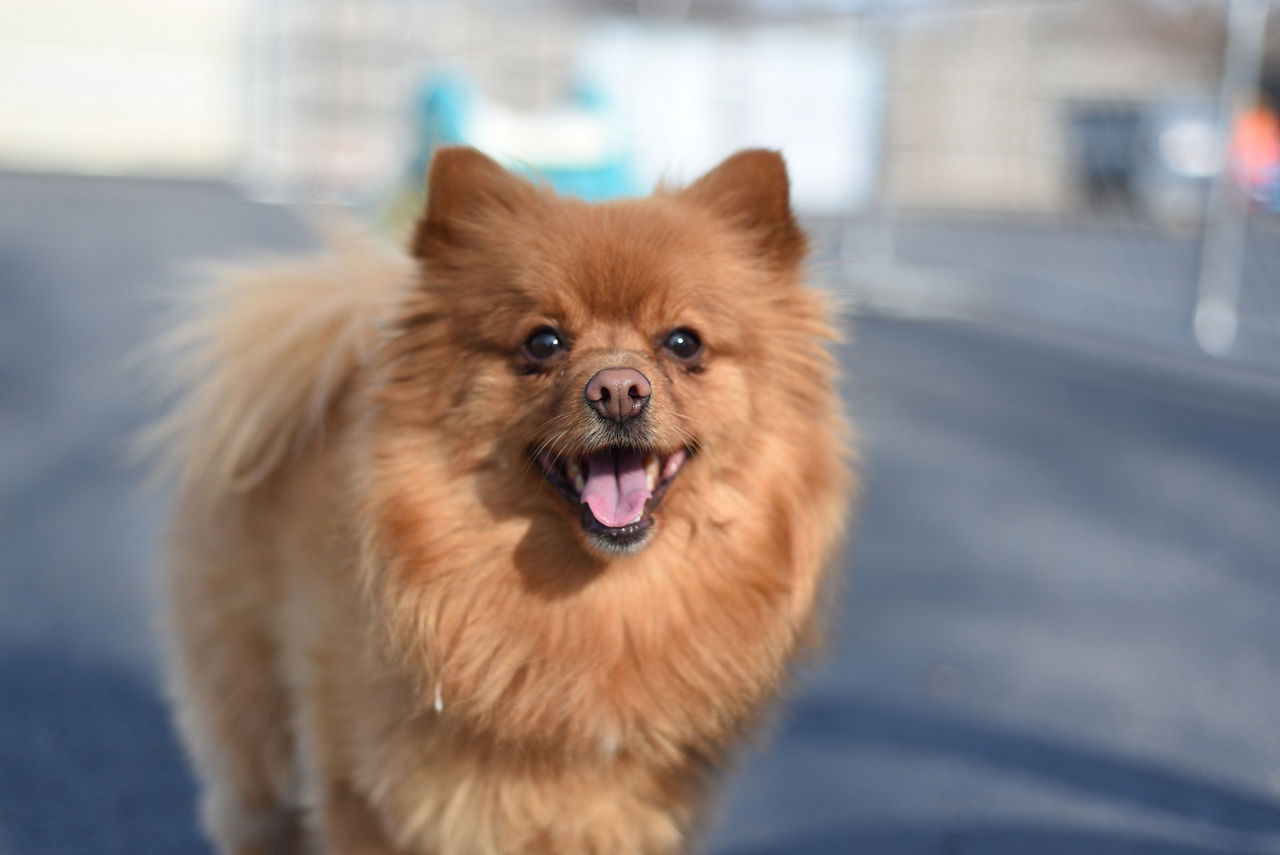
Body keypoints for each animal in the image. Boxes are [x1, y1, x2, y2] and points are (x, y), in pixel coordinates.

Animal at [149, 148, 849, 855]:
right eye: (543, 343)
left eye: (684, 343)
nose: (618, 389)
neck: (594, 608)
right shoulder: (367, 803)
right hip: (257, 741)